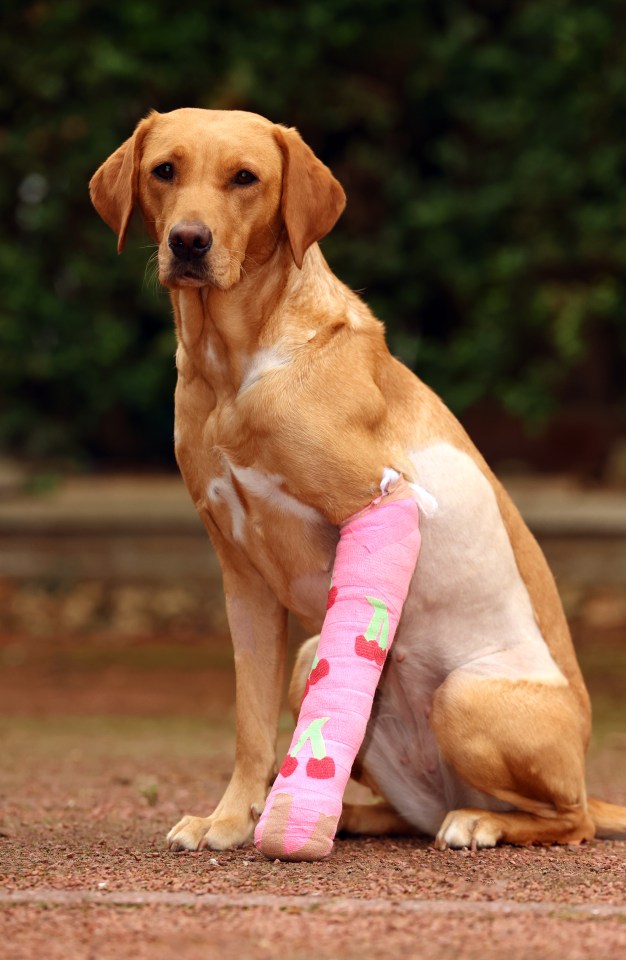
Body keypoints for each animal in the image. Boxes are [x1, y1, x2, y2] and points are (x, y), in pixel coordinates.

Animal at [89, 109, 624, 852]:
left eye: (245, 178)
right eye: (164, 170)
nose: (188, 241)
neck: (232, 370)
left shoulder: (381, 501)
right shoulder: (243, 579)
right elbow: (251, 727)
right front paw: (230, 820)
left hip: (464, 699)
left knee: (569, 821)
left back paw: (479, 821)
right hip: (313, 658)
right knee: (405, 808)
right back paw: (345, 815)